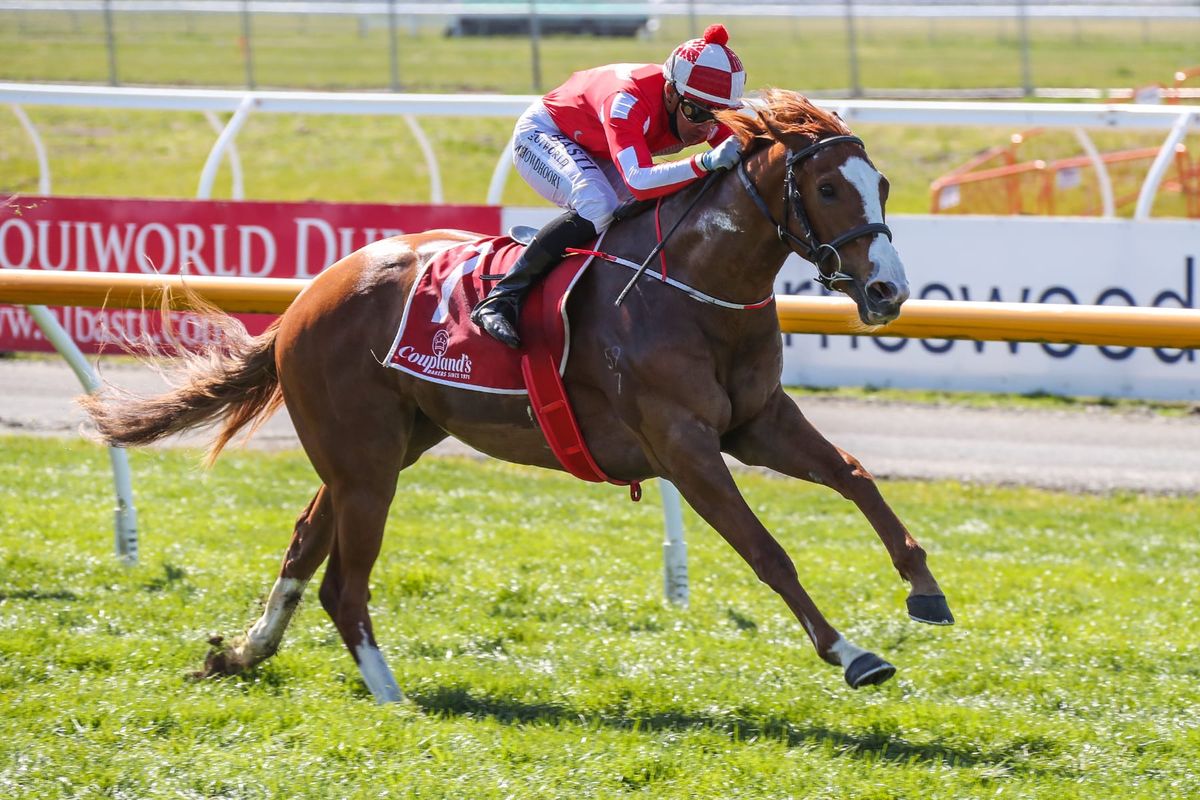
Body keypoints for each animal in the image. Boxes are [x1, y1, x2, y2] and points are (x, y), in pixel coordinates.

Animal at [79, 88, 953, 703]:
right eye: (831, 189)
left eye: (882, 182)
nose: (887, 291)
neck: (692, 288)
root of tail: (305, 299)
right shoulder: (683, 444)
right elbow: (767, 551)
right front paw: (853, 655)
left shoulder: (758, 420)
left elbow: (854, 477)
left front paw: (925, 589)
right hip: (365, 461)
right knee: (345, 584)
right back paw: (392, 697)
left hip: (385, 447)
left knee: (304, 546)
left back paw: (243, 654)